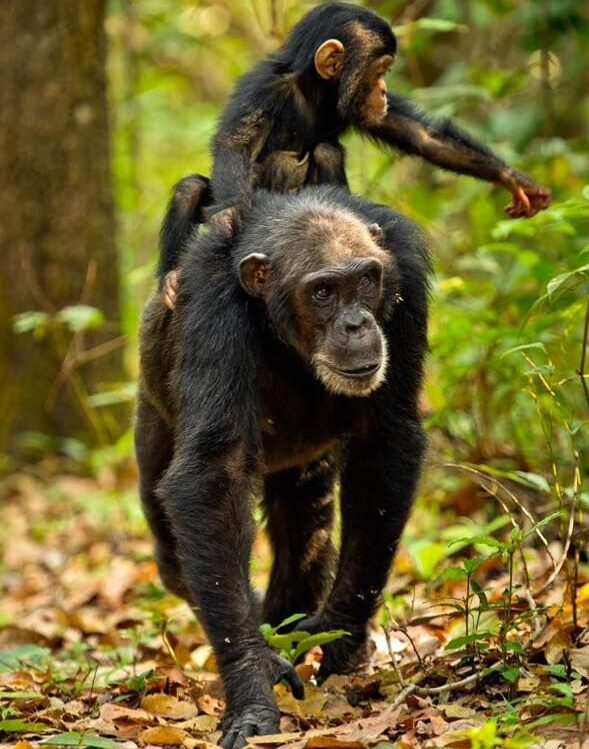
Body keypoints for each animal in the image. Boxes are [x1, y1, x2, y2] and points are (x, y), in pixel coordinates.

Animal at [136, 184, 430, 748]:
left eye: (366, 280)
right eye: (323, 291)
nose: (357, 323)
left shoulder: (404, 280)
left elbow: (384, 440)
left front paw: (343, 631)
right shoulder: (211, 304)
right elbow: (216, 471)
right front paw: (254, 676)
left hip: (303, 470)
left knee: (303, 534)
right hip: (151, 418)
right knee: (173, 554)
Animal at [159, 1, 550, 307]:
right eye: (379, 71)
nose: (384, 91)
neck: (313, 90)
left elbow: (423, 136)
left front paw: (514, 180)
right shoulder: (264, 88)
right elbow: (236, 144)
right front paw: (228, 216)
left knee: (328, 151)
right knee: (190, 189)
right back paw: (170, 282)